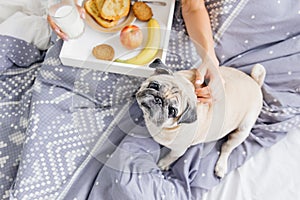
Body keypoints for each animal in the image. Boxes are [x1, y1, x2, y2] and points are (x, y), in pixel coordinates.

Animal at [136, 58, 264, 177]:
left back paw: (221, 166)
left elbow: (171, 156)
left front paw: (163, 164)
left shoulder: (179, 150)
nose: (158, 100)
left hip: (242, 131)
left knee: (226, 148)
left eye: (172, 111)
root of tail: (255, 83)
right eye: (154, 85)